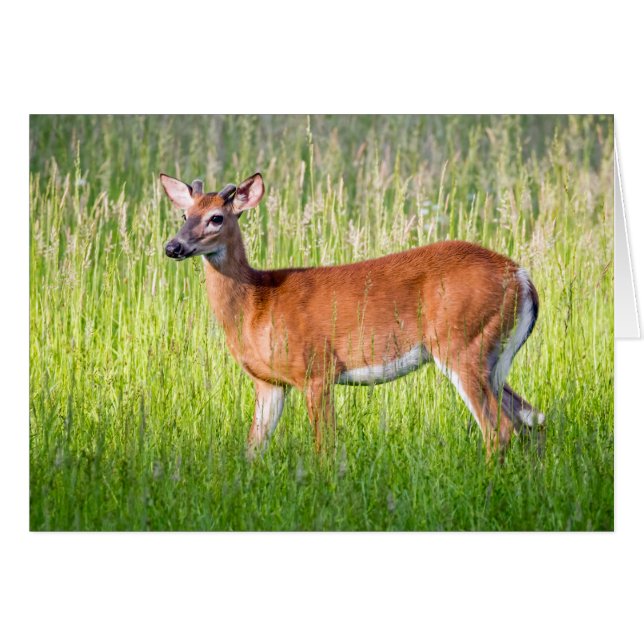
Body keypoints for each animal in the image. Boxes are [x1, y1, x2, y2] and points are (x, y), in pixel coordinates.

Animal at [160, 171, 544, 461]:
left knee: (499, 429)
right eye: (184, 215)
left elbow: (325, 448)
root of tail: (522, 277)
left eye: (216, 217)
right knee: (532, 419)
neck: (257, 303)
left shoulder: (315, 370)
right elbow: (254, 448)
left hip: (462, 344)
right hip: (492, 358)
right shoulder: (269, 383)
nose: (172, 247)